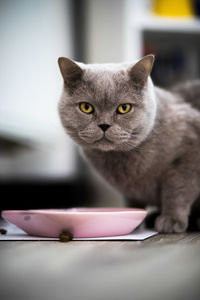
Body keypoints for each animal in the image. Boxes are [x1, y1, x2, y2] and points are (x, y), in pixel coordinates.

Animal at [57, 55, 200, 234]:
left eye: (124, 108)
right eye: (86, 107)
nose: (104, 125)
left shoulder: (190, 154)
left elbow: (177, 191)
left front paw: (171, 220)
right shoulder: (129, 191)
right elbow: (133, 203)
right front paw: (135, 220)